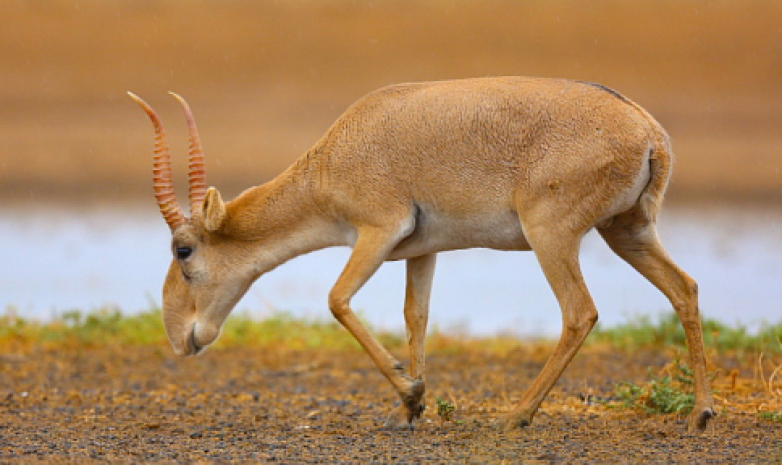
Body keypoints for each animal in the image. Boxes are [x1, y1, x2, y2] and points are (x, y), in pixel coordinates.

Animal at [129, 77, 716, 432]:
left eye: (183, 249)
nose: (181, 337)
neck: (337, 155)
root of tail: (647, 131)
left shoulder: (377, 231)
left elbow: (336, 299)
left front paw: (411, 395)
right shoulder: (422, 252)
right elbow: (417, 316)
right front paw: (410, 409)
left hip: (552, 237)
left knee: (580, 312)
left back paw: (516, 417)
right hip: (628, 231)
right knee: (685, 288)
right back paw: (701, 415)